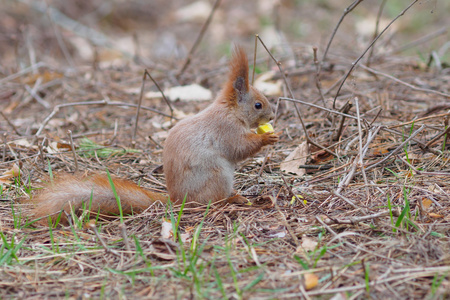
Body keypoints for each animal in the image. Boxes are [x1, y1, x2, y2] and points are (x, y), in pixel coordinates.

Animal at [29, 46, 278, 225]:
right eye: (258, 105)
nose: (273, 116)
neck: (231, 111)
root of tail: (177, 200)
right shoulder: (226, 129)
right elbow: (239, 148)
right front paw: (266, 139)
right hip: (217, 177)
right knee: (212, 202)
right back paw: (233, 199)